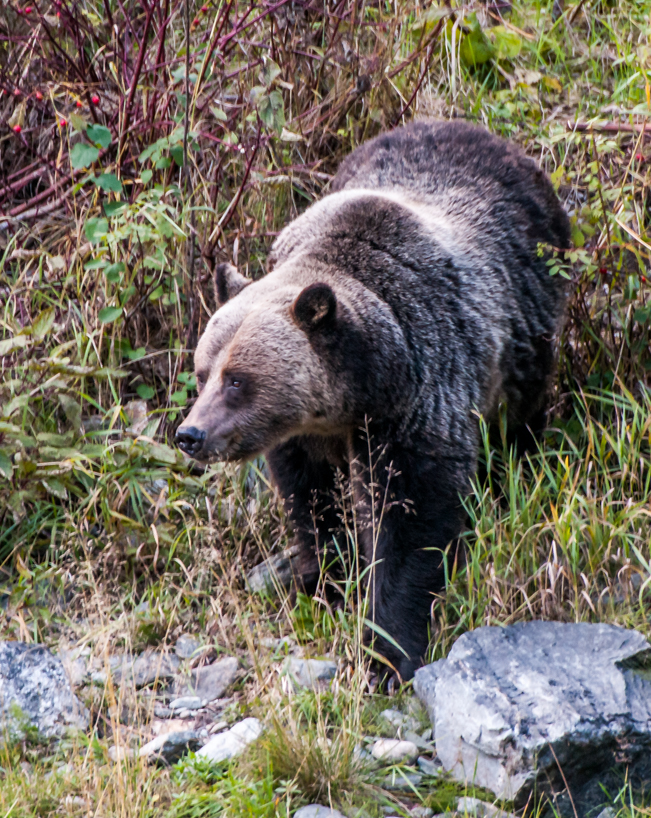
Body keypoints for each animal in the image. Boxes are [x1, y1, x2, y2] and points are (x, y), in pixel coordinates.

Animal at [175, 119, 570, 682]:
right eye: (203, 372)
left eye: (237, 380)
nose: (192, 434)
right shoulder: (303, 438)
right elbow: (312, 503)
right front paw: (327, 581)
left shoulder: (418, 396)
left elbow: (411, 517)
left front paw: (387, 649)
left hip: (529, 316)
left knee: (519, 421)